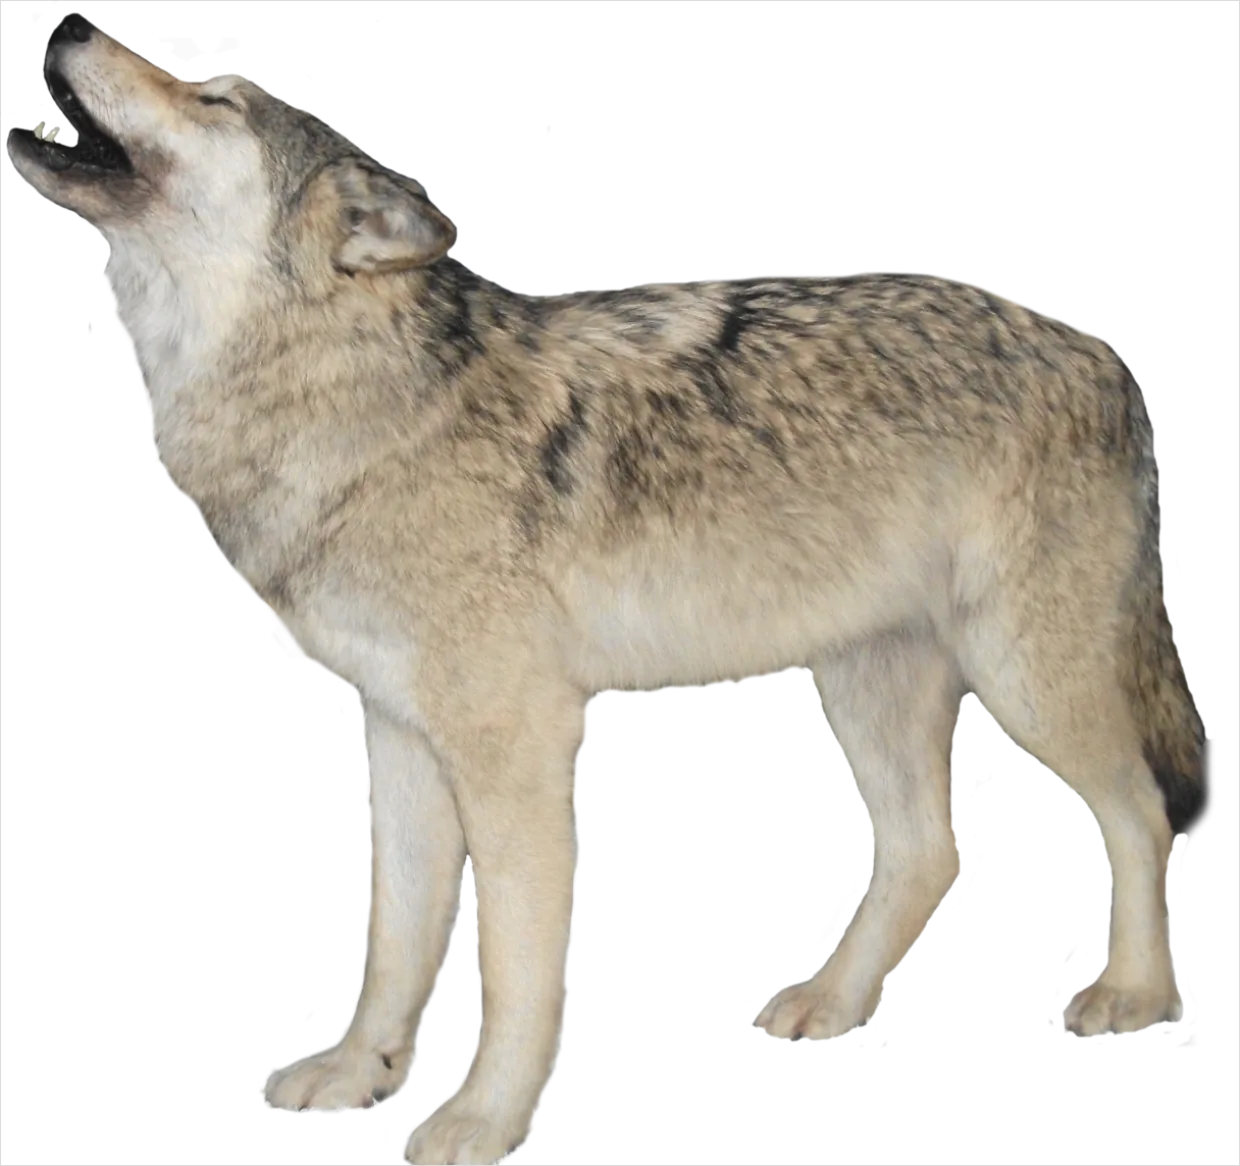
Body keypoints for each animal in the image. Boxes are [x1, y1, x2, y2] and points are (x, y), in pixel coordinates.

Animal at [9, 16, 1216, 1165]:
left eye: (212, 95)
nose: (60, 20)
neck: (357, 404)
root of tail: (1099, 352)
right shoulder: (399, 732)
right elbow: (396, 936)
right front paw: (360, 1074)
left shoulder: (519, 743)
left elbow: (512, 966)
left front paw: (481, 1121)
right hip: (865, 684)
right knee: (929, 849)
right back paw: (833, 1005)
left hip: (1024, 679)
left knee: (1141, 813)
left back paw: (1135, 995)